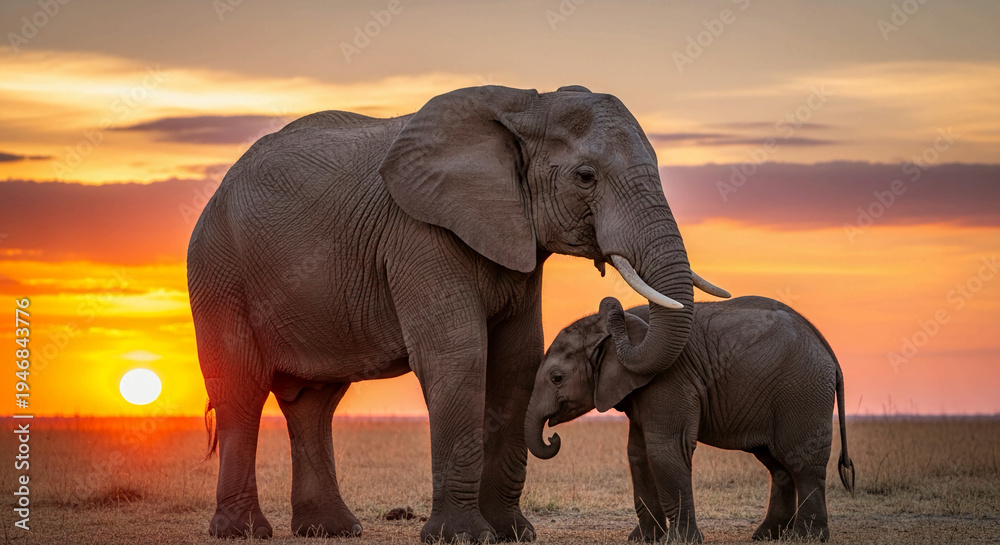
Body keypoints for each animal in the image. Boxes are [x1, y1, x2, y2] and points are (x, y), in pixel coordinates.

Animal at [187, 84, 729, 541]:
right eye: (586, 177)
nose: (611, 307)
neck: (526, 105)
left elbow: (516, 362)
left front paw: (512, 534)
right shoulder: (419, 233)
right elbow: (459, 356)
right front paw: (462, 537)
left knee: (313, 401)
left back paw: (331, 530)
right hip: (219, 270)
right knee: (241, 387)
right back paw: (243, 532)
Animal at [526, 297, 855, 542]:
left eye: (557, 378)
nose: (553, 437)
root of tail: (829, 351)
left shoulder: (668, 380)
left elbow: (665, 451)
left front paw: (681, 541)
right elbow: (638, 455)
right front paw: (643, 540)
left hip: (802, 392)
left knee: (801, 462)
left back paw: (806, 538)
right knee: (777, 464)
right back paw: (766, 536)